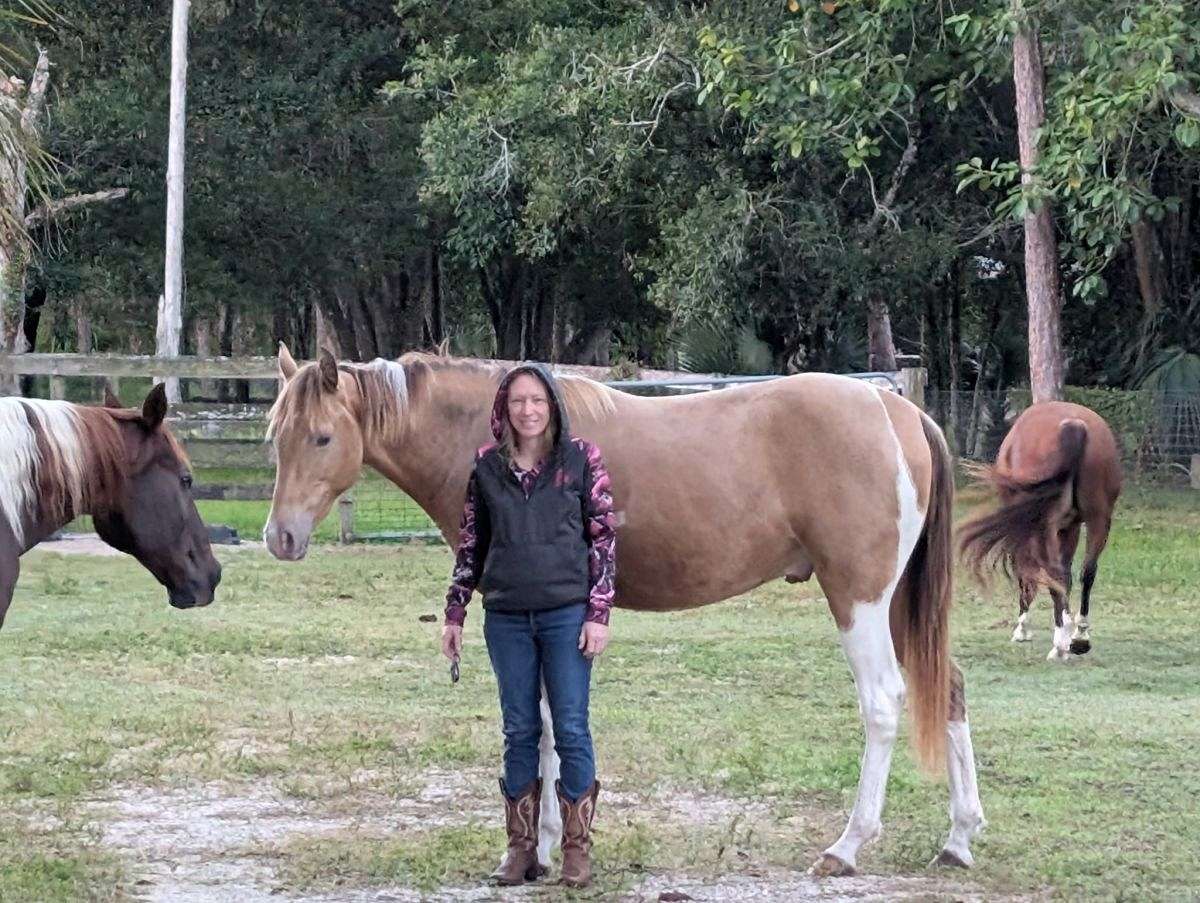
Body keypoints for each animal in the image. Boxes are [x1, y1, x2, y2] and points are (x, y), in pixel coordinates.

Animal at [263, 345, 985, 877]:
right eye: (276, 436)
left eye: (322, 436)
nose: (281, 537)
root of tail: (893, 409)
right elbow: (548, 723)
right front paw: (543, 847)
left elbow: (549, 724)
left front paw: (545, 847)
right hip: (896, 603)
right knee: (948, 688)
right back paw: (958, 839)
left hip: (859, 599)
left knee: (884, 701)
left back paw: (846, 846)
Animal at [959, 401, 1122, 662]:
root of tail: (1074, 426)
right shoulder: (1070, 527)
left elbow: (1027, 570)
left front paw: (1023, 628)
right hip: (1099, 518)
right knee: (1086, 572)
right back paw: (1080, 636)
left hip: (1046, 526)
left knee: (1054, 572)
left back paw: (1060, 644)